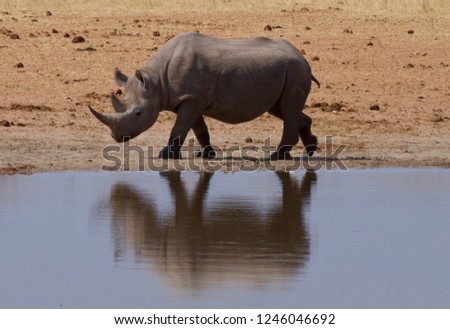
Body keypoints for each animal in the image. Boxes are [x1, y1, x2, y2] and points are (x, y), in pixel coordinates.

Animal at [89, 31, 320, 159]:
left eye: (138, 113)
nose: (116, 137)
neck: (156, 82)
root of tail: (302, 58)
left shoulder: (191, 99)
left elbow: (179, 128)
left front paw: (166, 156)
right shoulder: (190, 99)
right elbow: (199, 129)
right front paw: (205, 154)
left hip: (296, 70)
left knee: (288, 109)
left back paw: (277, 156)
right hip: (287, 71)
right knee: (282, 109)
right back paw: (310, 149)